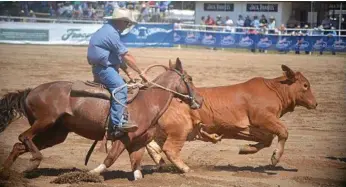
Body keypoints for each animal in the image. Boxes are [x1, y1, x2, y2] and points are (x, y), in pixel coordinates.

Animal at [0, 57, 203, 179]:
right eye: (190, 78)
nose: (200, 100)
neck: (148, 101)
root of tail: (30, 91)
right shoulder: (122, 137)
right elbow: (110, 158)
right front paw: (91, 173)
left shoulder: (139, 142)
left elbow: (136, 164)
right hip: (45, 121)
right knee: (23, 137)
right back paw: (34, 161)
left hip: (56, 133)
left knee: (19, 145)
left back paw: (8, 172)